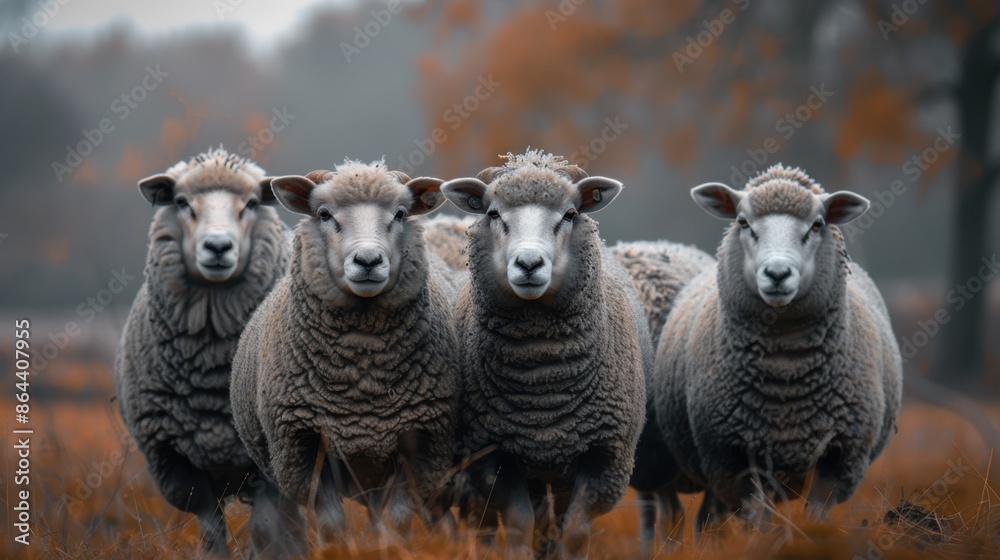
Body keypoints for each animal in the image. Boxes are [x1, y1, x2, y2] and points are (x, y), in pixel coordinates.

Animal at [115, 147, 292, 557]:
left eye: (252, 204)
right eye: (181, 202)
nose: (218, 247)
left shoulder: (265, 453)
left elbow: (264, 529)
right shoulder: (176, 464)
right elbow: (212, 532)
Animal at [229, 160, 461, 556]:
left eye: (400, 214)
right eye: (324, 214)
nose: (368, 261)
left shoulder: (419, 441)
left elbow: (398, 521)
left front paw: (392, 550)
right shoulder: (304, 444)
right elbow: (332, 524)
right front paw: (335, 550)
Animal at [441, 150, 648, 559]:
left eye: (569, 214)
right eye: (493, 214)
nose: (529, 264)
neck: (542, 383)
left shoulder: (605, 456)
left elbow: (575, 532)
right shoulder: (493, 453)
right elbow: (519, 524)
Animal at [654, 164, 903, 535]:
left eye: (817, 224)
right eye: (743, 222)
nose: (777, 273)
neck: (786, 372)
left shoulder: (843, 456)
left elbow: (813, 515)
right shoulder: (729, 455)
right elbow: (758, 518)